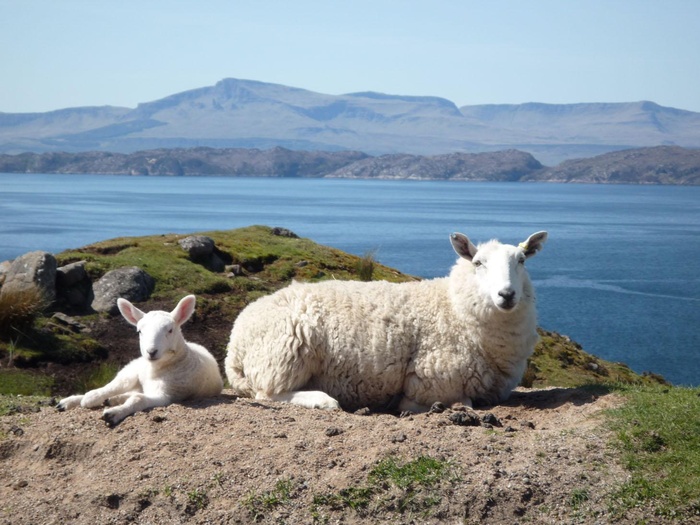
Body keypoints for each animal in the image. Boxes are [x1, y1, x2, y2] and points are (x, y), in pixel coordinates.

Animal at [60, 294, 226, 426]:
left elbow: (138, 399)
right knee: (116, 385)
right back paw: (74, 400)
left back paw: (112, 400)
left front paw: (114, 413)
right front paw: (90, 399)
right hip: (132, 370)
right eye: (139, 331)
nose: (151, 352)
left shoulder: (166, 395)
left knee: (131, 392)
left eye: (170, 330)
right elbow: (115, 388)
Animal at [224, 231, 548, 412]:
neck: (454, 308)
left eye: (522, 261)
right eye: (478, 263)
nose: (506, 295)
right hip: (285, 354)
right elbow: (458, 402)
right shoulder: (431, 382)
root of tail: (234, 344)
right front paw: (416, 408)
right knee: (268, 393)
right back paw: (323, 400)